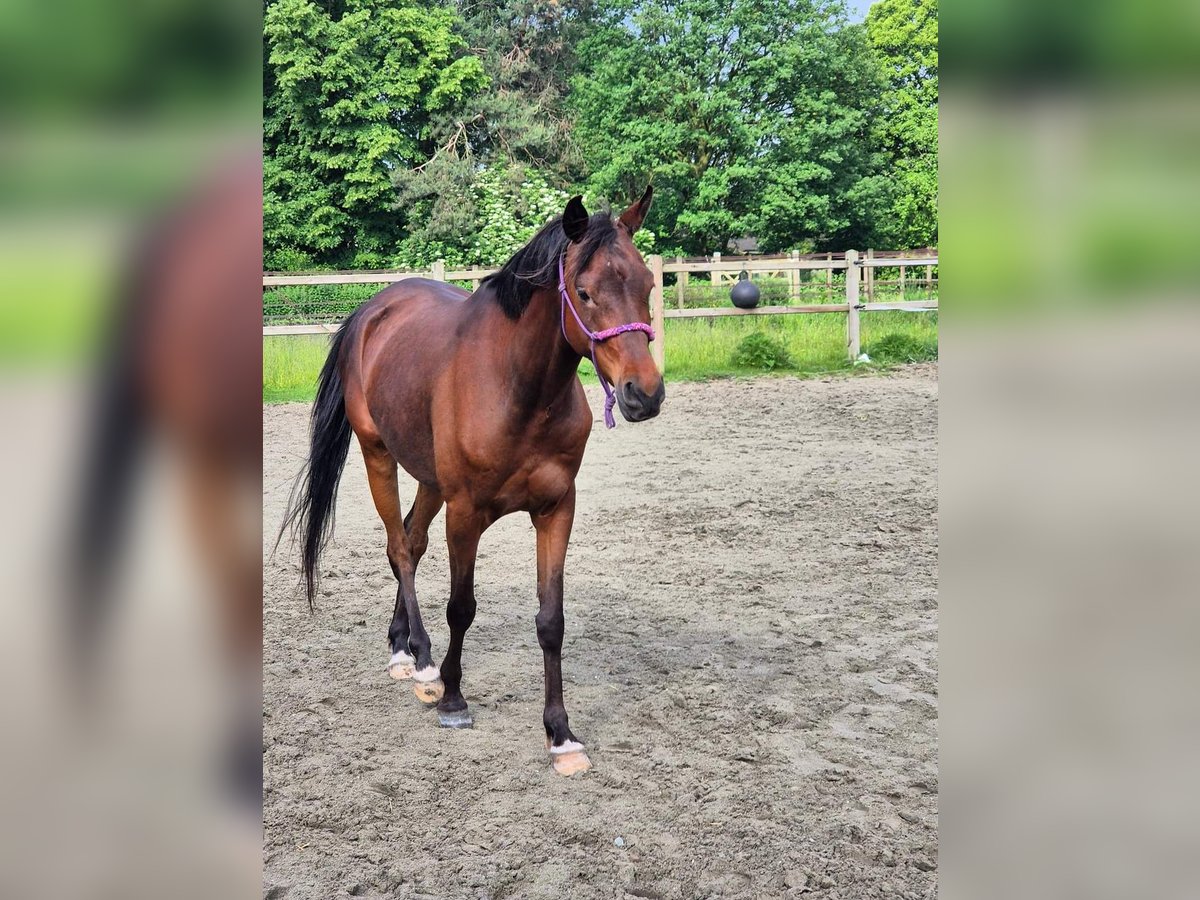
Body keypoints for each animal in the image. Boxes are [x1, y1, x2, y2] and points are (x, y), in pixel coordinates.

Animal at [285, 188, 672, 777]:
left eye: (648, 286)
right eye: (584, 292)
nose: (643, 394)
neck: (518, 389)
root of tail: (373, 310)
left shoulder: (556, 510)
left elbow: (551, 620)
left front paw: (560, 735)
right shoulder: (466, 513)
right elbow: (461, 608)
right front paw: (452, 698)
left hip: (429, 479)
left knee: (412, 540)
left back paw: (402, 645)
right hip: (380, 457)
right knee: (400, 547)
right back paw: (422, 662)